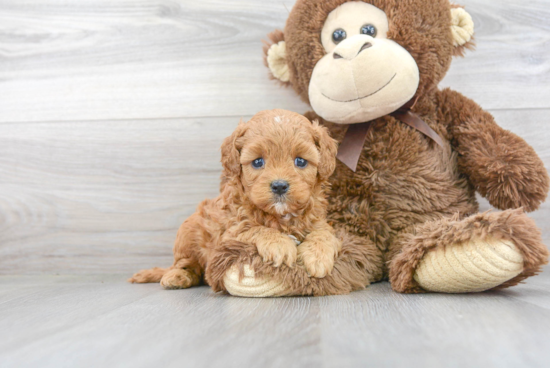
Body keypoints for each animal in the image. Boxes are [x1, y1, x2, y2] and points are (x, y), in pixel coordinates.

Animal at [131, 109, 342, 290]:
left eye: (300, 161)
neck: (280, 216)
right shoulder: (229, 233)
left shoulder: (317, 220)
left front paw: (318, 256)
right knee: (187, 264)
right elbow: (254, 228)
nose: (279, 186)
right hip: (188, 233)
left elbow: (324, 232)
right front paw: (279, 244)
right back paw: (177, 276)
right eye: (258, 162)